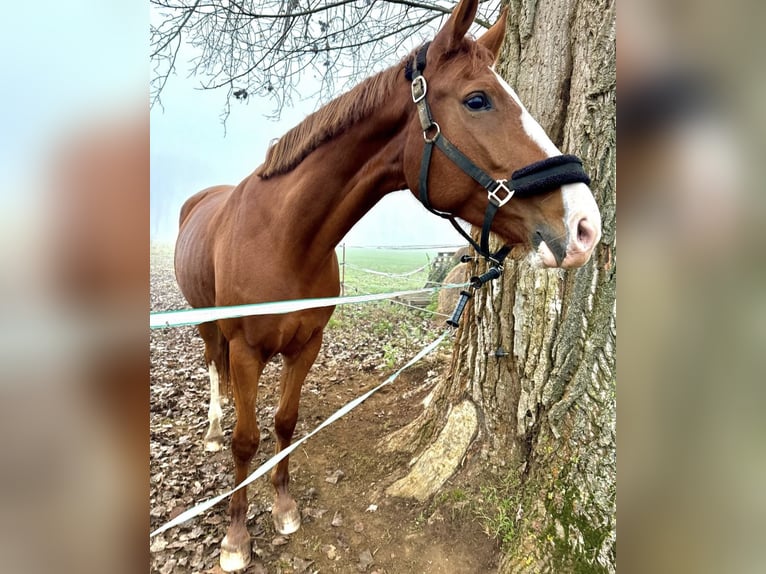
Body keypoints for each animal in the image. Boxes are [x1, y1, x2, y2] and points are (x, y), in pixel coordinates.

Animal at [174, 0, 601, 569]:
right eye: (478, 100)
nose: (584, 226)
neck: (282, 238)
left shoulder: (307, 345)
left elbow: (285, 422)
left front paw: (283, 506)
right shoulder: (246, 349)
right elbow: (247, 440)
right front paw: (237, 538)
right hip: (208, 325)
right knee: (213, 369)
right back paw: (212, 430)